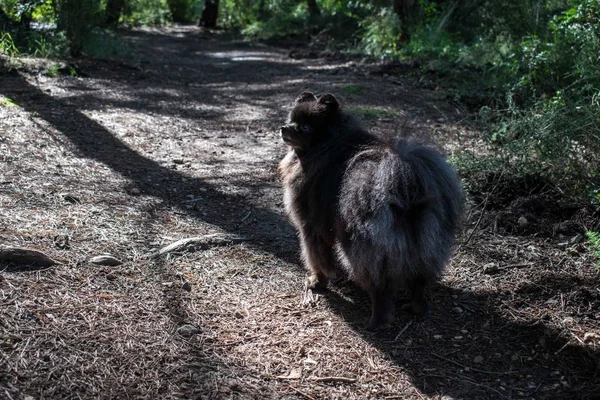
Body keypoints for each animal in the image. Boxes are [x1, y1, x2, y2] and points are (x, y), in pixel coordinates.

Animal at [278, 92, 462, 330]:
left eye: (305, 127)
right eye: (292, 119)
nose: (284, 127)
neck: (326, 146)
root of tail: (407, 186)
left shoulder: (311, 226)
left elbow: (317, 258)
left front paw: (317, 282)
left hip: (364, 247)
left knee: (379, 287)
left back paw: (377, 322)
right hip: (426, 242)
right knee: (419, 281)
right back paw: (417, 308)